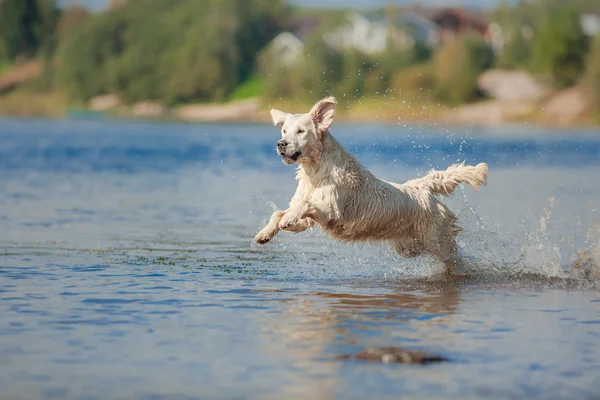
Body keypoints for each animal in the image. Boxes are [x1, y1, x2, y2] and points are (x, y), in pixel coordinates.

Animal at [253, 97, 488, 276]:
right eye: (284, 131)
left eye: (301, 131)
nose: (281, 144)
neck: (315, 171)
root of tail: (421, 186)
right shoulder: (309, 220)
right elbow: (280, 213)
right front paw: (265, 233)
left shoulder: (331, 211)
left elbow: (305, 205)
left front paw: (288, 219)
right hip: (409, 247)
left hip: (439, 241)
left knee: (456, 260)